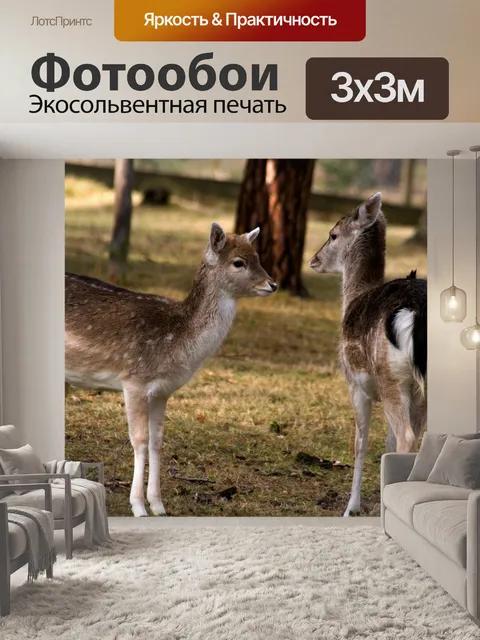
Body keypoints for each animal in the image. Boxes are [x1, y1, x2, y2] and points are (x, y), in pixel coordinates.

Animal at [65, 223, 277, 517]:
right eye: (239, 262)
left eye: (257, 257)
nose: (273, 284)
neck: (176, 343)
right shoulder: (134, 380)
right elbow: (139, 440)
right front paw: (138, 507)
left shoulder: (162, 391)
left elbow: (157, 440)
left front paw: (158, 505)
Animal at [309, 192, 427, 517]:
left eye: (333, 234)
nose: (313, 260)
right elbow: (386, 441)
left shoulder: (355, 384)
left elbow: (360, 443)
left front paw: (351, 507)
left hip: (390, 377)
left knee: (407, 438)